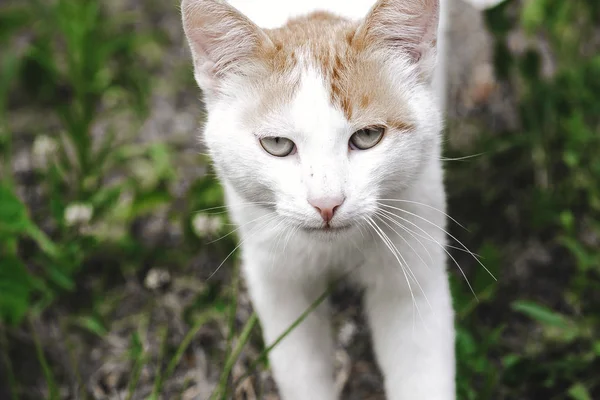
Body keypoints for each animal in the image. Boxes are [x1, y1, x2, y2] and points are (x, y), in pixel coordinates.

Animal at [180, 1, 500, 398]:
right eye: (277, 144)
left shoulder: (413, 267)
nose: (326, 203)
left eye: (367, 136)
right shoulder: (277, 280)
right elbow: (302, 373)